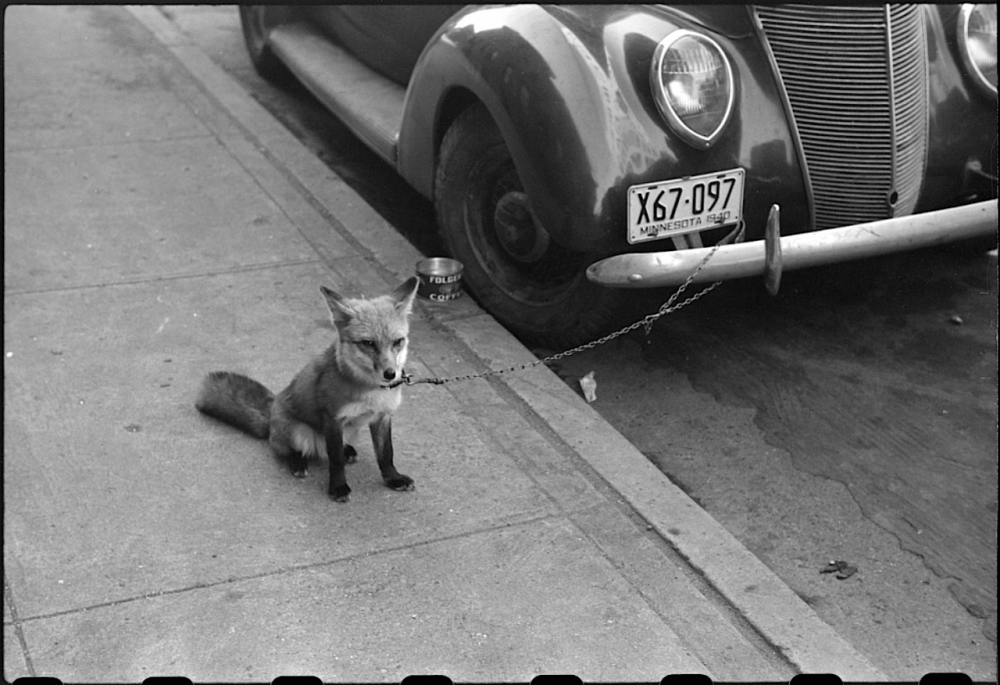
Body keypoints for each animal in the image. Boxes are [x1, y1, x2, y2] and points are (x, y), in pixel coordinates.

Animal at [195, 277, 420, 502]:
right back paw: (297, 462)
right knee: (290, 450)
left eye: (398, 342)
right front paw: (338, 487)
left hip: (349, 429)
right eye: (369, 343)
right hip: (298, 431)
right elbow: (335, 460)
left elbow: (386, 454)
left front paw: (393, 479)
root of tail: (271, 417)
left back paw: (347, 450)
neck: (373, 391)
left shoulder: (382, 416)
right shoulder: (332, 418)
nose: (390, 374)